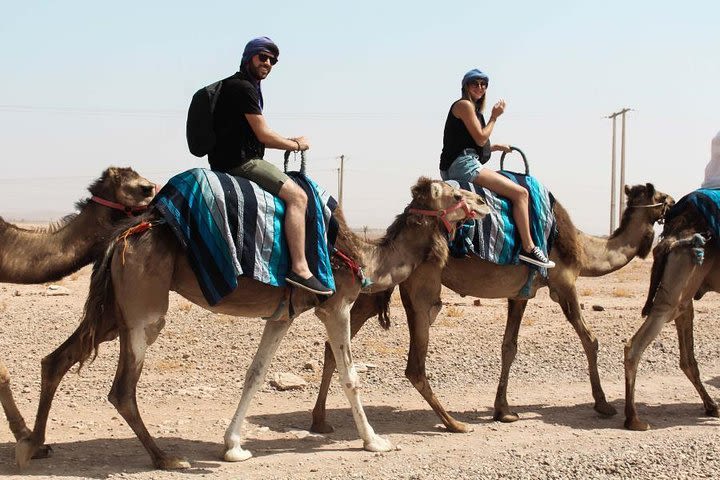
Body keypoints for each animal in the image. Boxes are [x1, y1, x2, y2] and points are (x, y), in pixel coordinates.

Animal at [16, 176, 490, 468]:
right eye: (454, 195)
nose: (484, 202)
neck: (361, 255)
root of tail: (123, 236)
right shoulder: (335, 305)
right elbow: (350, 377)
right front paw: (374, 440)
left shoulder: (283, 314)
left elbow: (256, 373)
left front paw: (233, 446)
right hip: (145, 311)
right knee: (122, 390)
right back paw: (166, 458)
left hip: (116, 310)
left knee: (56, 360)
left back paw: (33, 447)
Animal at [310, 182, 676, 434]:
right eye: (660, 194)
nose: (673, 203)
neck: (583, 249)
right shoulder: (563, 283)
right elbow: (590, 340)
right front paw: (603, 405)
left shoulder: (520, 294)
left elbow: (509, 347)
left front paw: (504, 410)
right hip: (422, 288)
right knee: (413, 364)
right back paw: (452, 424)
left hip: (380, 286)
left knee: (335, 345)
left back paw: (320, 421)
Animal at [624, 197, 720, 430]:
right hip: (676, 290)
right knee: (635, 346)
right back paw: (633, 418)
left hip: (684, 291)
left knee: (687, 359)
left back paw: (711, 405)